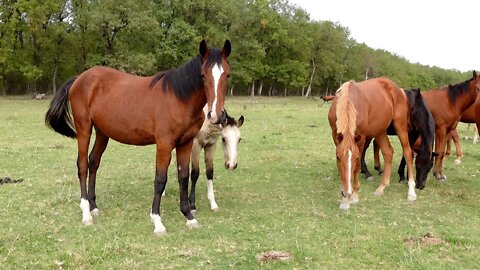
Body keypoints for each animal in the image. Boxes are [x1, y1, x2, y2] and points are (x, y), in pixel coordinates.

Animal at [44, 39, 231, 235]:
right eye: (203, 75)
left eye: (227, 75)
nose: (216, 116)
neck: (179, 98)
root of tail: (79, 78)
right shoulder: (164, 144)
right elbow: (160, 180)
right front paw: (157, 222)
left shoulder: (186, 143)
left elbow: (184, 177)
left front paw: (188, 215)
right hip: (84, 130)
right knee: (82, 166)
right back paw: (86, 213)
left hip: (102, 133)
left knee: (93, 162)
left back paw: (94, 207)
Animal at [326, 77, 416, 210]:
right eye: (338, 157)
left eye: (356, 158)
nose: (347, 192)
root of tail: (399, 90)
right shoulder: (335, 135)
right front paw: (345, 199)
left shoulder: (361, 137)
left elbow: (357, 167)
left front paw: (354, 195)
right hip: (381, 131)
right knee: (388, 152)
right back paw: (382, 187)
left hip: (400, 126)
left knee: (408, 152)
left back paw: (411, 192)